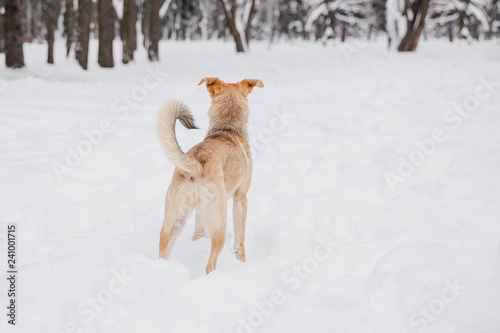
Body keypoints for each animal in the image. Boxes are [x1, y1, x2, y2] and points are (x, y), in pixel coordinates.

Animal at [157, 77, 266, 272]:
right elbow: (240, 242)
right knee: (211, 264)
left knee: (163, 251)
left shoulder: (200, 211)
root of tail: (197, 165)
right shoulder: (241, 198)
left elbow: (198, 232)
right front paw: (242, 263)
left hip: (173, 222)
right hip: (219, 223)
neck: (227, 127)